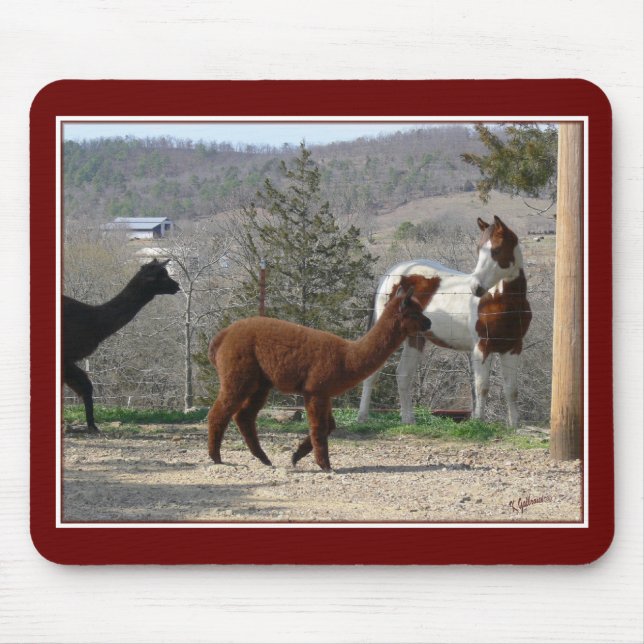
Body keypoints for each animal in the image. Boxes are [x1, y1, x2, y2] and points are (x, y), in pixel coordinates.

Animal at [357, 216, 532, 427]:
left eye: (496, 250)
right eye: (478, 249)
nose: (476, 288)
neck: (499, 301)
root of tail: (391, 273)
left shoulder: (513, 348)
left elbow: (511, 389)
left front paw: (514, 426)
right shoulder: (482, 347)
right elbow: (482, 386)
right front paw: (479, 423)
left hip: (415, 338)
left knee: (403, 375)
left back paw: (408, 420)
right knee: (374, 372)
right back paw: (362, 417)